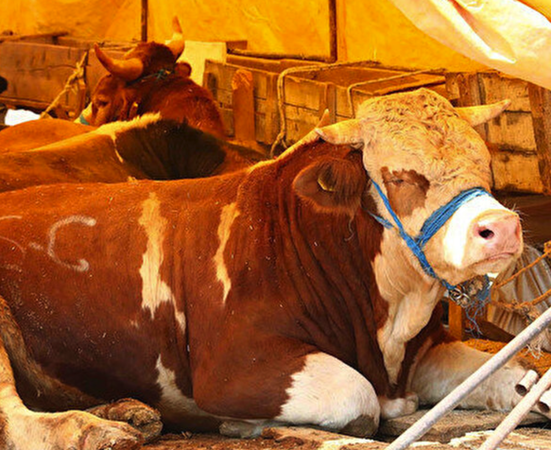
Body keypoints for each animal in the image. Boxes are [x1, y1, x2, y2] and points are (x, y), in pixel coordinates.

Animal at [0, 89, 544, 450]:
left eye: (486, 165)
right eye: (401, 177)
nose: (501, 228)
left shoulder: (423, 349)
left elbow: (513, 374)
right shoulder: (233, 366)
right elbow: (357, 399)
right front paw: (245, 425)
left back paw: (128, 411)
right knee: (17, 415)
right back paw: (96, 431)